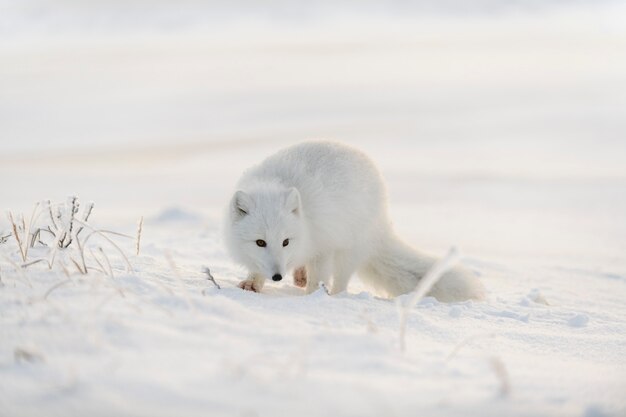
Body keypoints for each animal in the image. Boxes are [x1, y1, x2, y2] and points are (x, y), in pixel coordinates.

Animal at [222, 141, 486, 300]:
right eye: (260, 242)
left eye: (286, 242)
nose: (277, 277)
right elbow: (257, 267)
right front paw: (252, 284)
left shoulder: (323, 245)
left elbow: (319, 276)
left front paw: (311, 298)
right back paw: (300, 276)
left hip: (349, 249)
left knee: (341, 280)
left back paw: (333, 294)